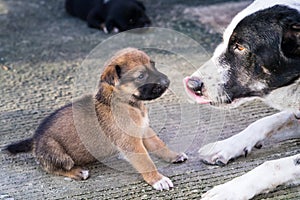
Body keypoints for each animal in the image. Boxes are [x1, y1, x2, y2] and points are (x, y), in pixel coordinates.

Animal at [5, 48, 188, 191]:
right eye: (141, 76)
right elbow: (146, 162)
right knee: (56, 168)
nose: (167, 81)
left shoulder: (144, 130)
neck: (126, 102)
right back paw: (78, 172)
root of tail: (34, 141)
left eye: (154, 65)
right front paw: (158, 179)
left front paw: (174, 155)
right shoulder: (131, 142)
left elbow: (159, 145)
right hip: (56, 151)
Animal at [184, 0, 298, 199]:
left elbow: (273, 165)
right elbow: (266, 121)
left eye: (241, 47)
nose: (191, 85)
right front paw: (226, 145)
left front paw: (230, 189)